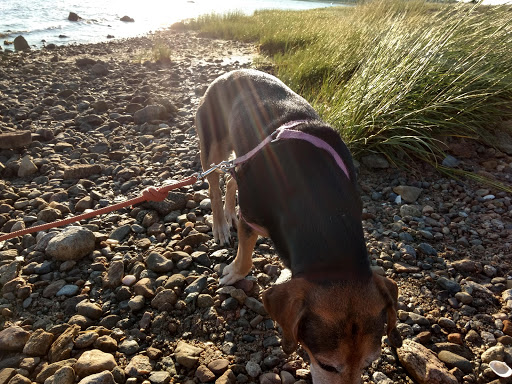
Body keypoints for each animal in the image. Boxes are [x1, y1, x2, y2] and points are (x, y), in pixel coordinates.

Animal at [195, 70, 400, 384]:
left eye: (370, 362)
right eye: (327, 365)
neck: (322, 207)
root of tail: (231, 72)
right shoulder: (251, 217)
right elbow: (244, 259)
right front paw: (233, 272)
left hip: (240, 159)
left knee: (231, 179)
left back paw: (229, 211)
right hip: (212, 145)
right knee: (214, 184)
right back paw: (220, 222)